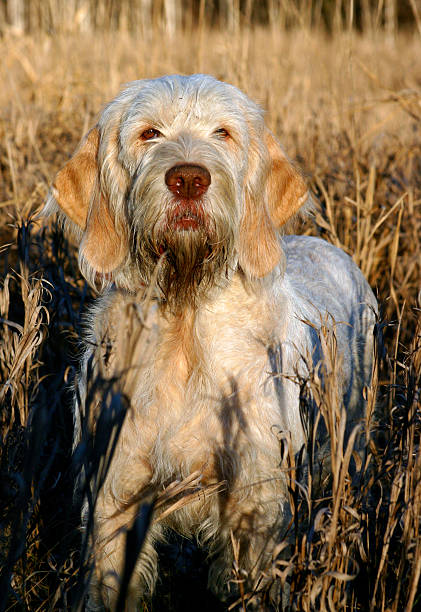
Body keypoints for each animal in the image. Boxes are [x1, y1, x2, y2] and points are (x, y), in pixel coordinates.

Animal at [44, 74, 376, 608]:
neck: (186, 320)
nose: (187, 179)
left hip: (354, 440)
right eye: (149, 133)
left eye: (222, 133)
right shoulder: (113, 501)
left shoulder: (256, 507)